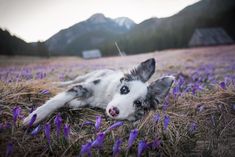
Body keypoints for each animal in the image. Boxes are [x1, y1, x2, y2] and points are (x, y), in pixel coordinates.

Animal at [23, 58, 174, 125]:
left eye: (138, 103)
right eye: (124, 89)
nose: (113, 111)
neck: (105, 99)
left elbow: (76, 103)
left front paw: (73, 103)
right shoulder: (85, 86)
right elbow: (58, 100)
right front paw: (34, 117)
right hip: (83, 77)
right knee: (70, 82)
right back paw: (56, 83)